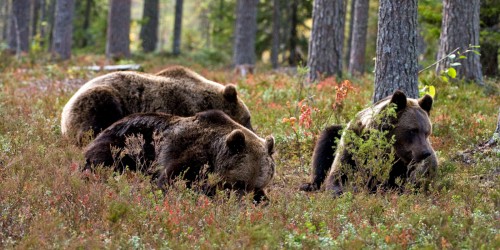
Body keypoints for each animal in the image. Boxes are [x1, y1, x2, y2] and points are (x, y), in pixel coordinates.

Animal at [84, 110, 276, 202]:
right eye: (240, 183)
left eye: (257, 186)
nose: (243, 202)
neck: (214, 153)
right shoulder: (190, 155)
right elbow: (172, 180)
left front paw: (264, 201)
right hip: (121, 146)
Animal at [300, 90, 438, 195]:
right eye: (413, 130)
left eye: (427, 132)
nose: (426, 152)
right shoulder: (352, 143)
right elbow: (338, 173)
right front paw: (340, 190)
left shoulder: (402, 167)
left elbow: (390, 183)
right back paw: (309, 184)